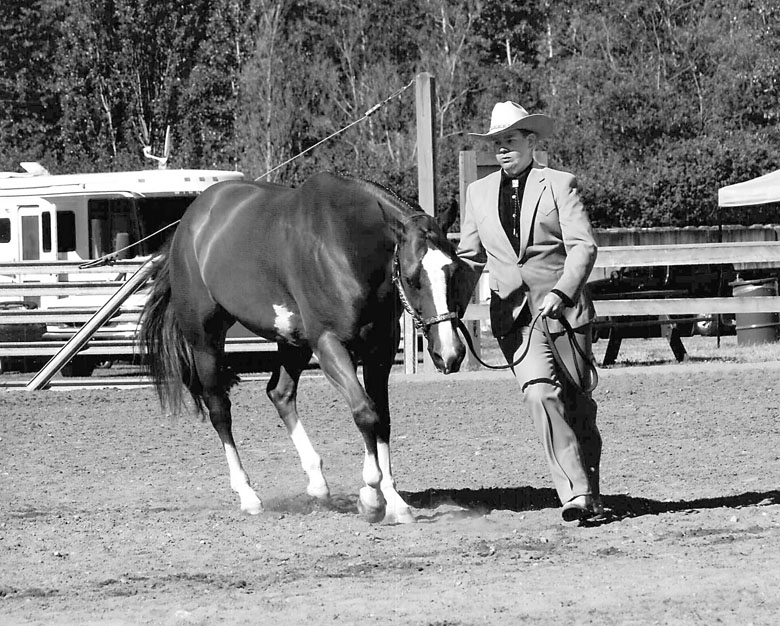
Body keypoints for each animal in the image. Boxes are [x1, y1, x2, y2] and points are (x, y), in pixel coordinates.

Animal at [138, 171, 468, 524]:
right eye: (412, 276)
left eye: (455, 269)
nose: (450, 353)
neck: (345, 245)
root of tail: (189, 221)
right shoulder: (328, 344)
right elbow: (365, 412)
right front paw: (371, 497)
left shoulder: (380, 349)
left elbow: (383, 418)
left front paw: (393, 500)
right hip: (206, 341)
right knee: (220, 411)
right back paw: (248, 495)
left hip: (292, 342)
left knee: (279, 393)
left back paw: (318, 483)